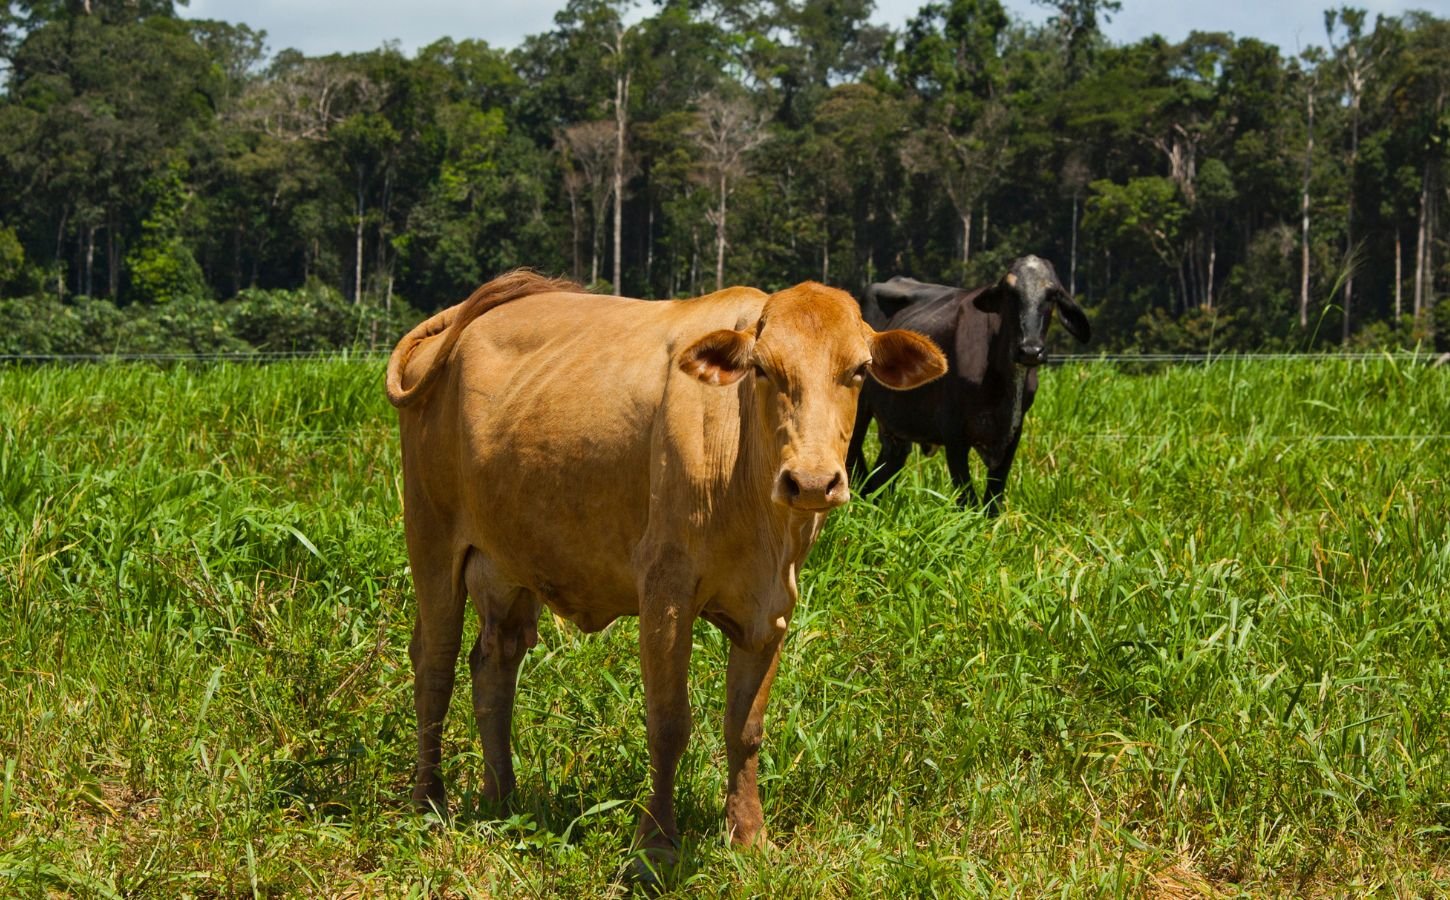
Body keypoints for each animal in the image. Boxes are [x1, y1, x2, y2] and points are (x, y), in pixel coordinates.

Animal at [391, 269, 945, 869]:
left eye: (859, 370)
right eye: (762, 368)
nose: (813, 481)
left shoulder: (771, 609)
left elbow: (745, 728)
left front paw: (749, 836)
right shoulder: (665, 593)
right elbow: (669, 723)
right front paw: (655, 844)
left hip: (510, 563)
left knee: (494, 664)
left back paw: (501, 797)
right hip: (432, 538)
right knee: (435, 664)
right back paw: (428, 801)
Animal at [846, 256, 1090, 515]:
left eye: (1052, 294)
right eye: (1010, 292)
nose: (1030, 350)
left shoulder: (1013, 434)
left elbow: (994, 500)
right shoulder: (954, 434)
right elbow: (968, 501)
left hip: (896, 430)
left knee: (880, 480)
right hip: (860, 410)